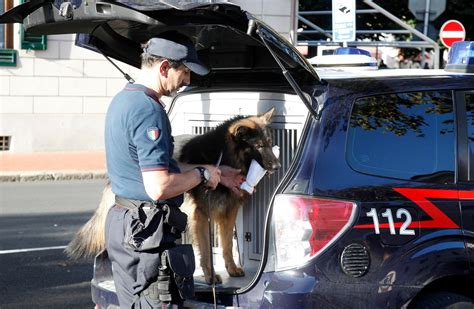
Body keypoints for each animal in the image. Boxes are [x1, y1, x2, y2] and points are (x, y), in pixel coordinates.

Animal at [66, 106, 282, 284]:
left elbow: (228, 245)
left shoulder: (229, 213)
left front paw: (231, 269)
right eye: (259, 146)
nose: (278, 166)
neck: (224, 155)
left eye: (270, 143)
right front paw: (210, 276)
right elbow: (206, 250)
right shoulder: (203, 216)